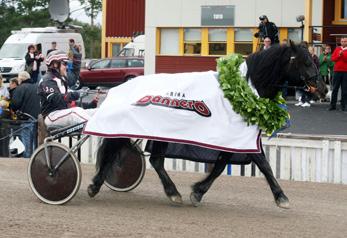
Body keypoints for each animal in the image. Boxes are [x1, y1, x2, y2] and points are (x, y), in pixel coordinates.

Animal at [88, 42, 328, 208]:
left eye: (314, 60)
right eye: (307, 61)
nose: (323, 88)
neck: (243, 89)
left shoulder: (236, 138)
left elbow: (235, 164)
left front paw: (198, 191)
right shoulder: (234, 136)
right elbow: (256, 164)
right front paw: (281, 197)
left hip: (161, 133)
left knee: (153, 160)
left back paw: (170, 192)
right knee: (117, 151)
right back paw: (97, 185)